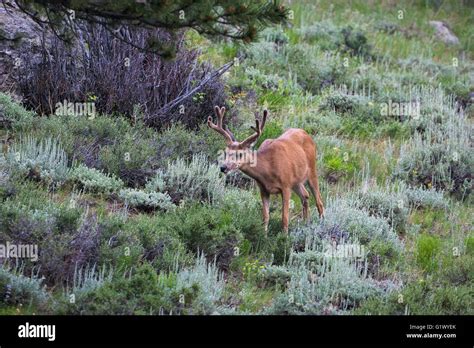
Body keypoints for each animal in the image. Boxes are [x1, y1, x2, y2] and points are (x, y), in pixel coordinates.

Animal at [209, 103, 324, 234]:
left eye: (240, 154)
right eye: (225, 152)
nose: (223, 167)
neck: (268, 170)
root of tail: (306, 133)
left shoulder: (286, 186)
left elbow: (285, 217)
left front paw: (284, 237)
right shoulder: (263, 189)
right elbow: (265, 217)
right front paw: (263, 235)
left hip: (312, 170)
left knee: (319, 201)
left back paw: (320, 224)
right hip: (296, 181)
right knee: (305, 195)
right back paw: (306, 224)